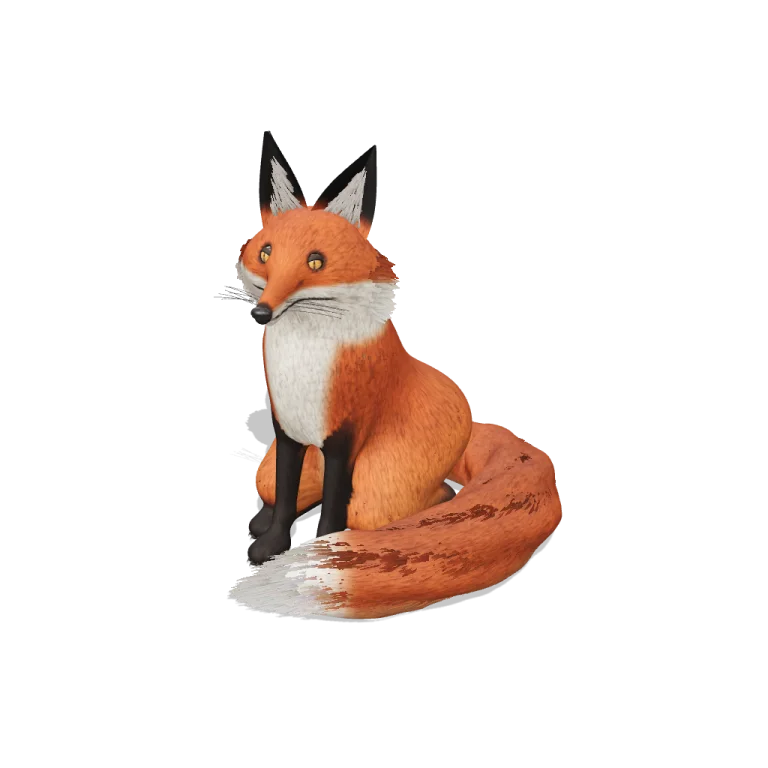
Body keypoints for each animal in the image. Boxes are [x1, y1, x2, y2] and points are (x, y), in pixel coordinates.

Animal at [225, 134, 562, 619]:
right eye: (266, 252)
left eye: (315, 262)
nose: (260, 314)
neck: (305, 363)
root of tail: (470, 422)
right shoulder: (286, 429)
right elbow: (287, 495)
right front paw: (270, 542)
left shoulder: (346, 437)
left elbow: (331, 510)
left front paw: (321, 549)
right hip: (269, 468)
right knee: (278, 486)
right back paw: (260, 518)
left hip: (377, 489)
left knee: (434, 497)